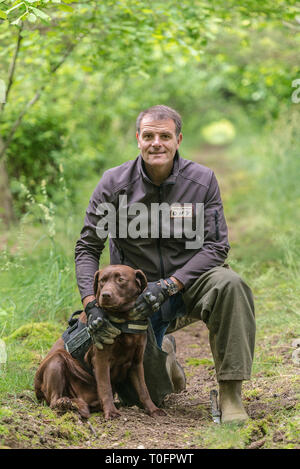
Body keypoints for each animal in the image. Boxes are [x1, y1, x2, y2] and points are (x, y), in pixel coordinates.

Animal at [35, 266, 168, 418]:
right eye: (102, 281)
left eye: (121, 279)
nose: (105, 295)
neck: (123, 318)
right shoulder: (101, 360)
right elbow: (105, 387)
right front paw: (111, 411)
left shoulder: (136, 361)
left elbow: (143, 389)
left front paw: (153, 409)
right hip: (57, 360)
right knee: (54, 400)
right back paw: (66, 403)